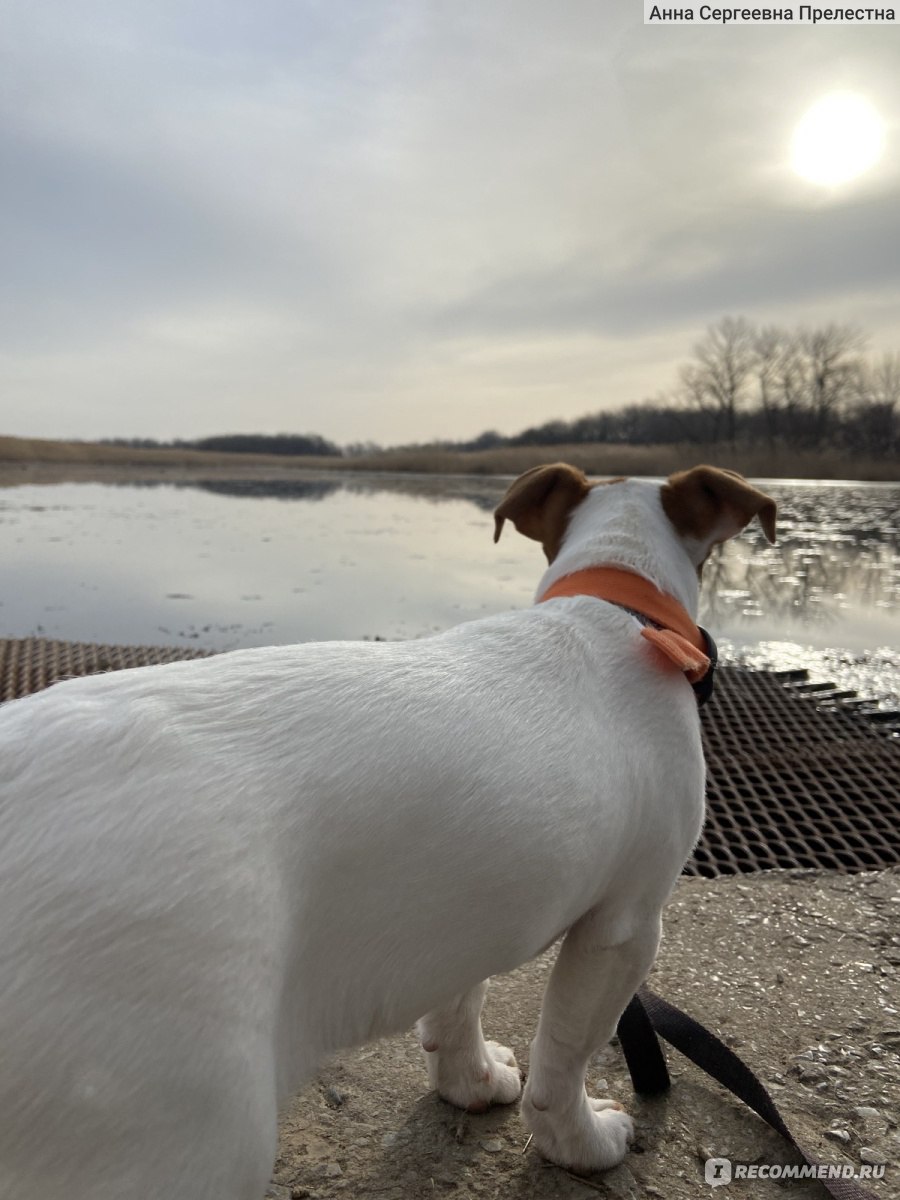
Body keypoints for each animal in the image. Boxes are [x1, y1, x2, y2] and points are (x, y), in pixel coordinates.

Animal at [0, 463, 777, 1195]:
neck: (616, 599)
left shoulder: (469, 903)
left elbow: (462, 1001)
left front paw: (471, 1080)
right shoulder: (624, 927)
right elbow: (564, 1057)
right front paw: (580, 1142)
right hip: (180, 1133)